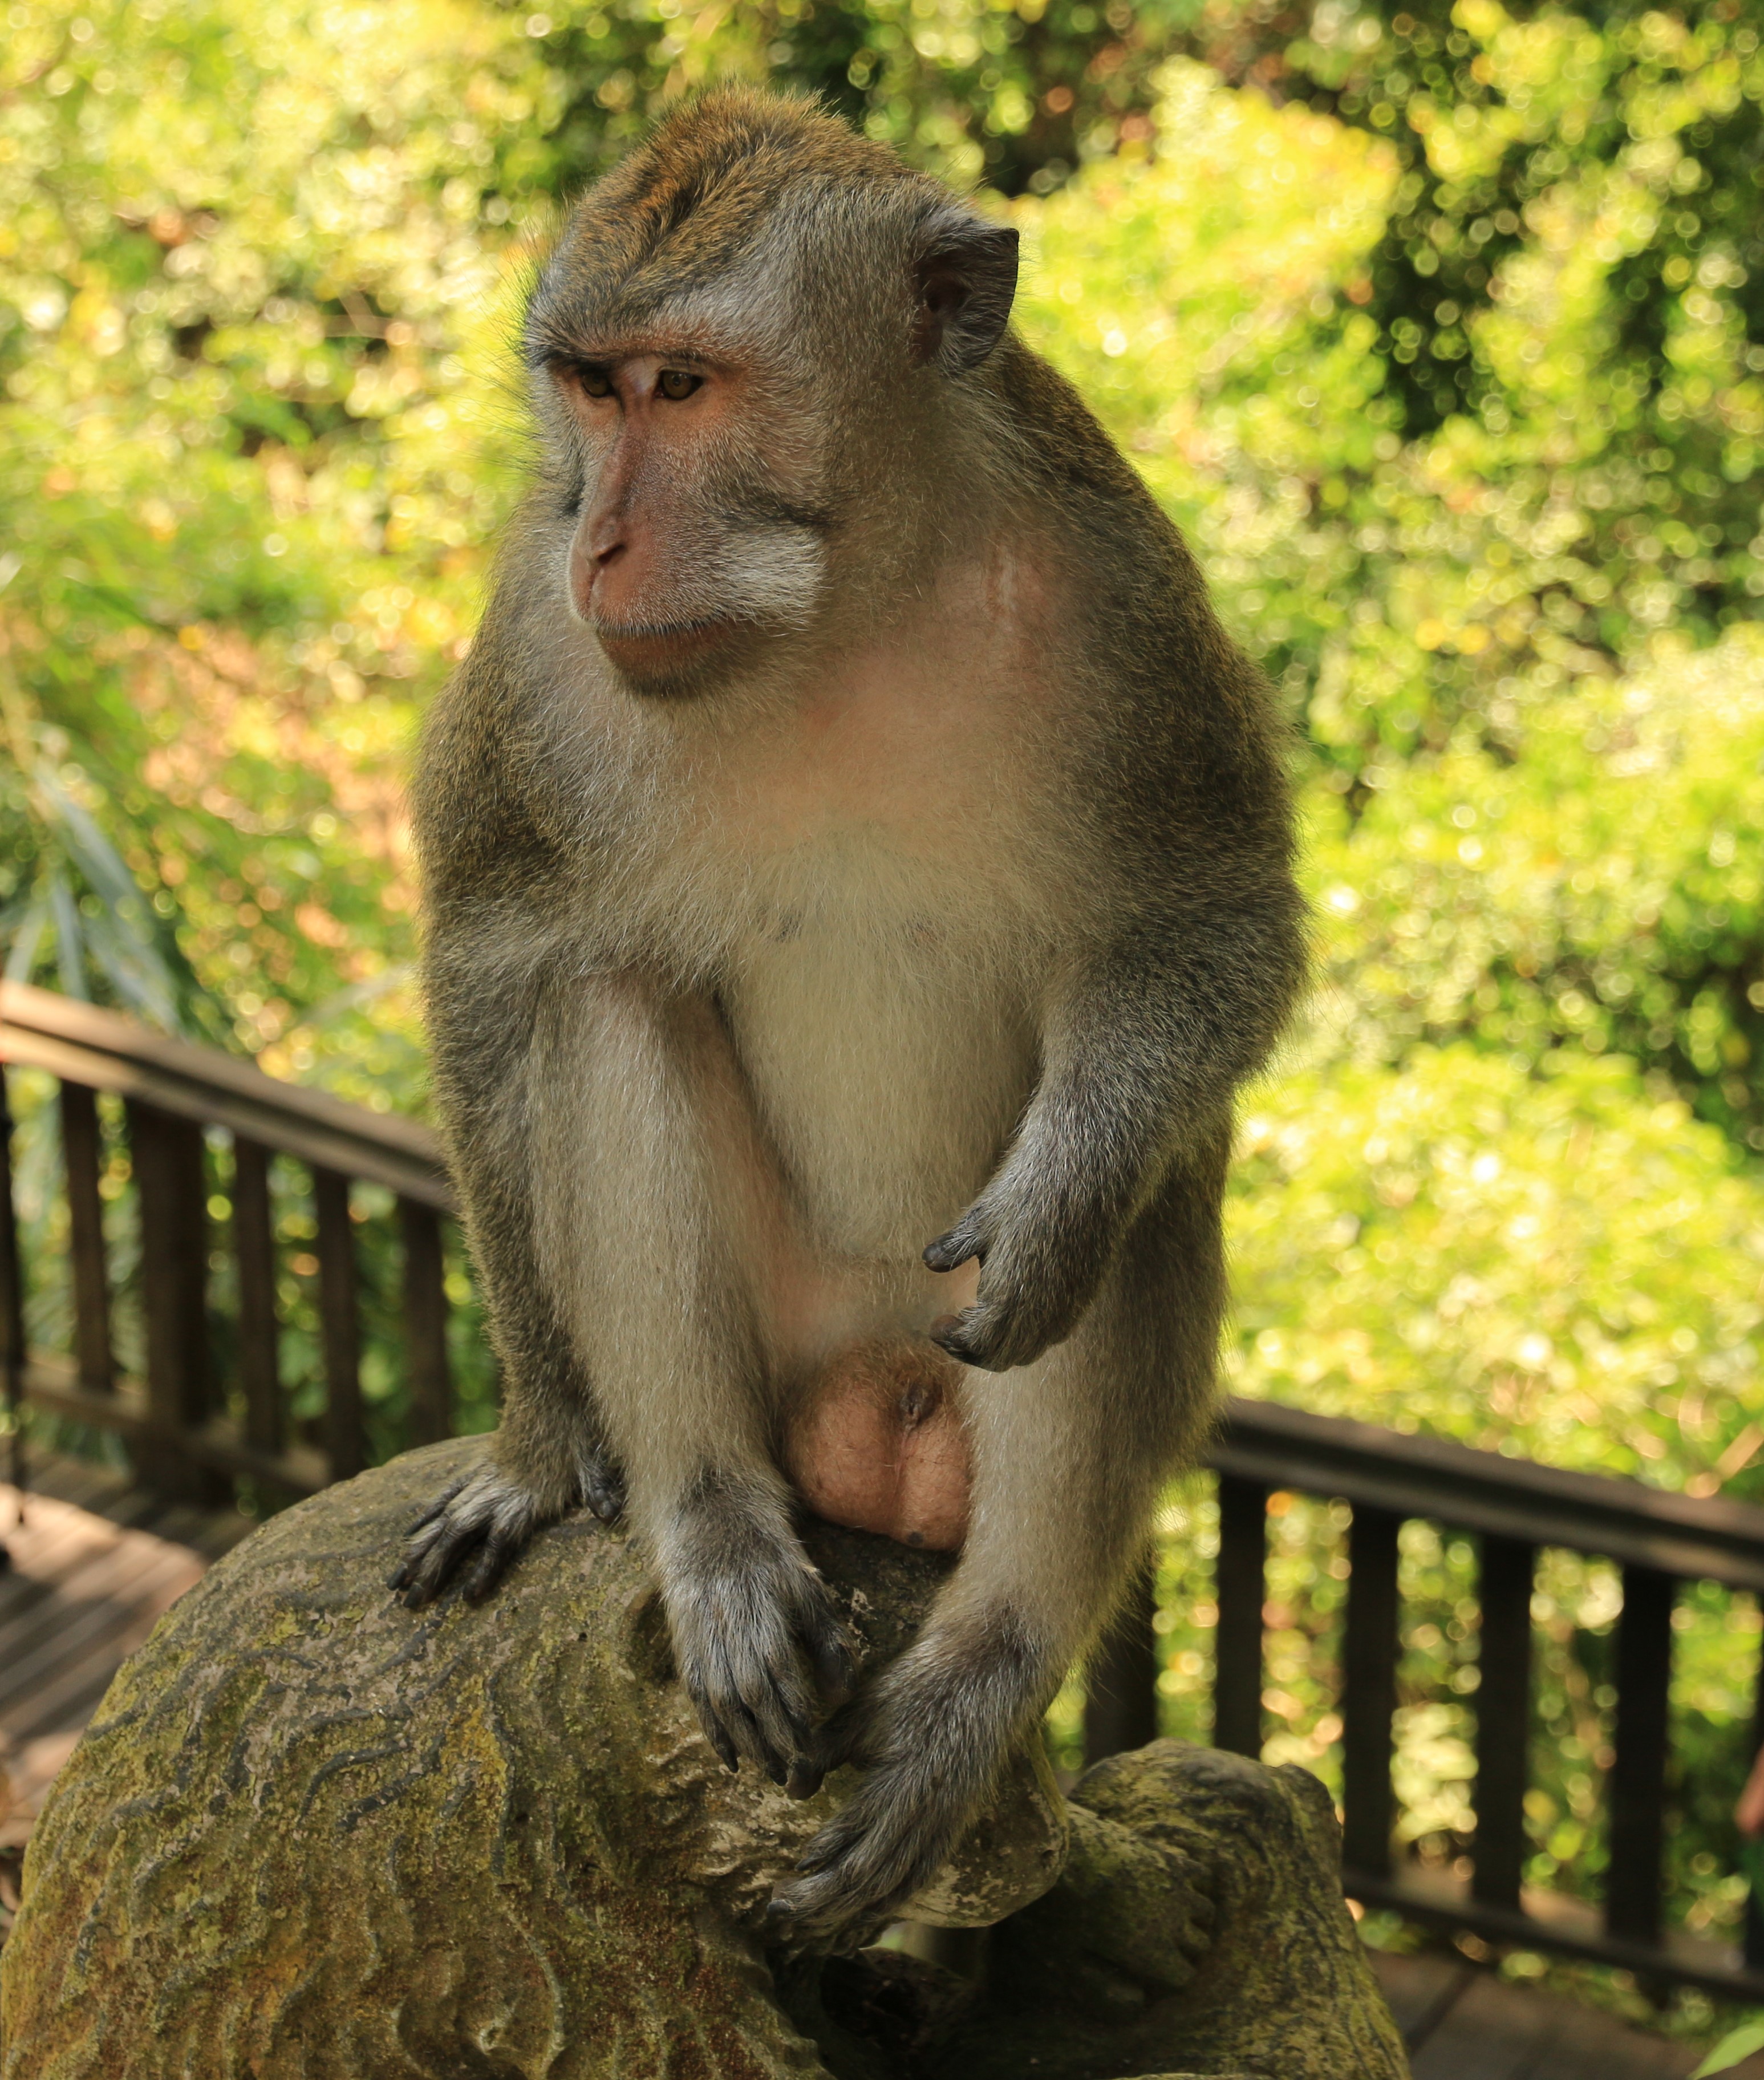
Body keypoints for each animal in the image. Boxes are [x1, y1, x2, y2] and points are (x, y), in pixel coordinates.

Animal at [389, 85, 1306, 1944]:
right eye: (589, 386)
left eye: (682, 387)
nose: (599, 535)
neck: (840, 607)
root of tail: (867, 1405)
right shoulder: (539, 650)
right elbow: (499, 953)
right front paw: (540, 1446)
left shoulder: (1123, 591)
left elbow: (1211, 910)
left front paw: (1057, 1202)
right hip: (786, 1329)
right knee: (610, 998)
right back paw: (713, 1532)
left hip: (939, 1346)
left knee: (1149, 1185)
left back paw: (983, 1669)